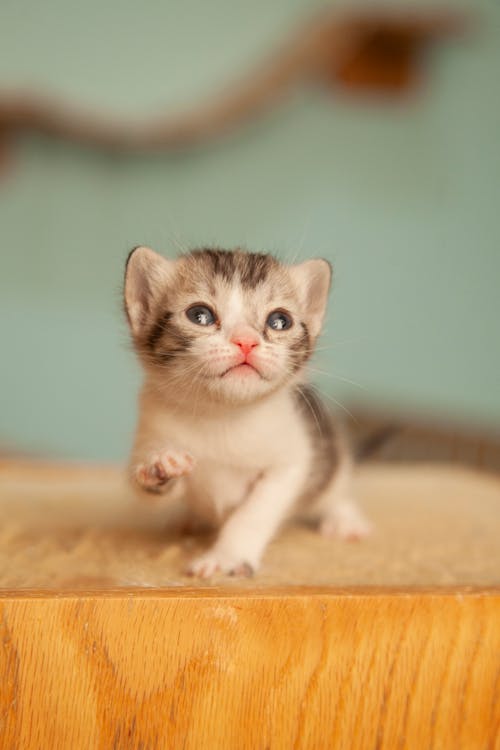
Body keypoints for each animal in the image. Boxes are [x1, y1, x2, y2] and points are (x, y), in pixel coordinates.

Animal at [123, 250, 370, 580]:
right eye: (199, 315)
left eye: (280, 321)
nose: (246, 341)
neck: (222, 414)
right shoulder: (151, 426)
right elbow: (145, 485)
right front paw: (160, 466)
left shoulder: (292, 458)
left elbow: (255, 512)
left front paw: (227, 556)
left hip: (332, 454)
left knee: (334, 487)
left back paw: (344, 519)